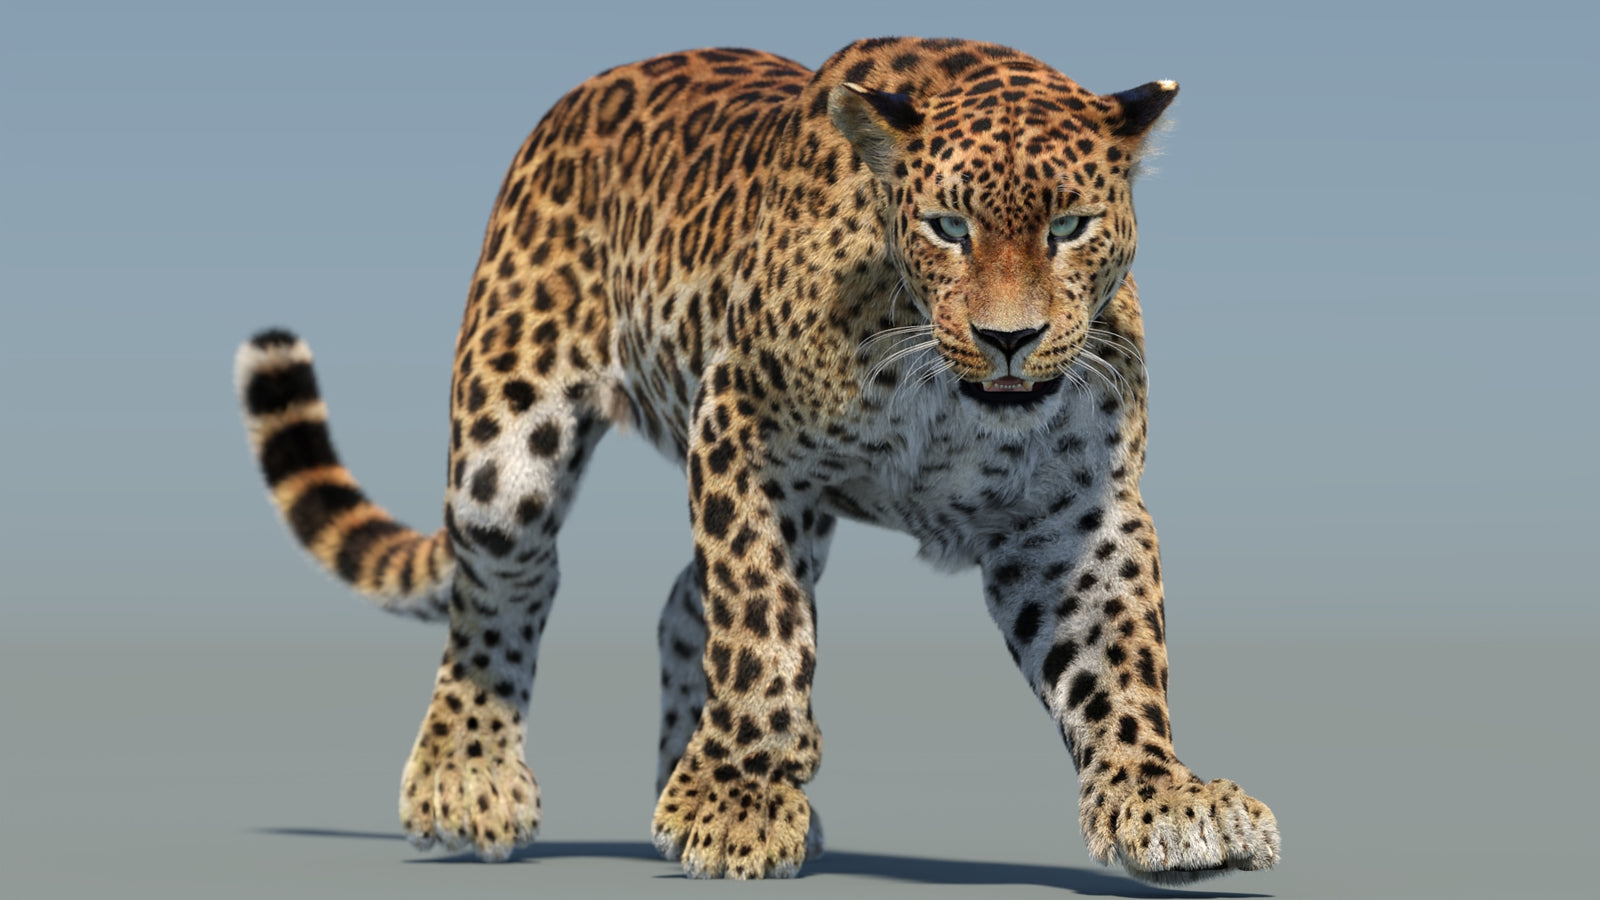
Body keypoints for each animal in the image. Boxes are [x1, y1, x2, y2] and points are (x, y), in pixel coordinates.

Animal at [233, 36, 1280, 883]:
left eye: (1070, 228)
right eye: (948, 226)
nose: (1009, 339)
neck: (940, 389)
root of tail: (583, 92)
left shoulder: (1073, 507)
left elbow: (1116, 652)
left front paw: (1163, 799)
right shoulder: (742, 432)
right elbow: (761, 625)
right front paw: (737, 802)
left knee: (677, 606)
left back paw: (676, 783)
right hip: (509, 444)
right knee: (505, 585)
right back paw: (466, 781)